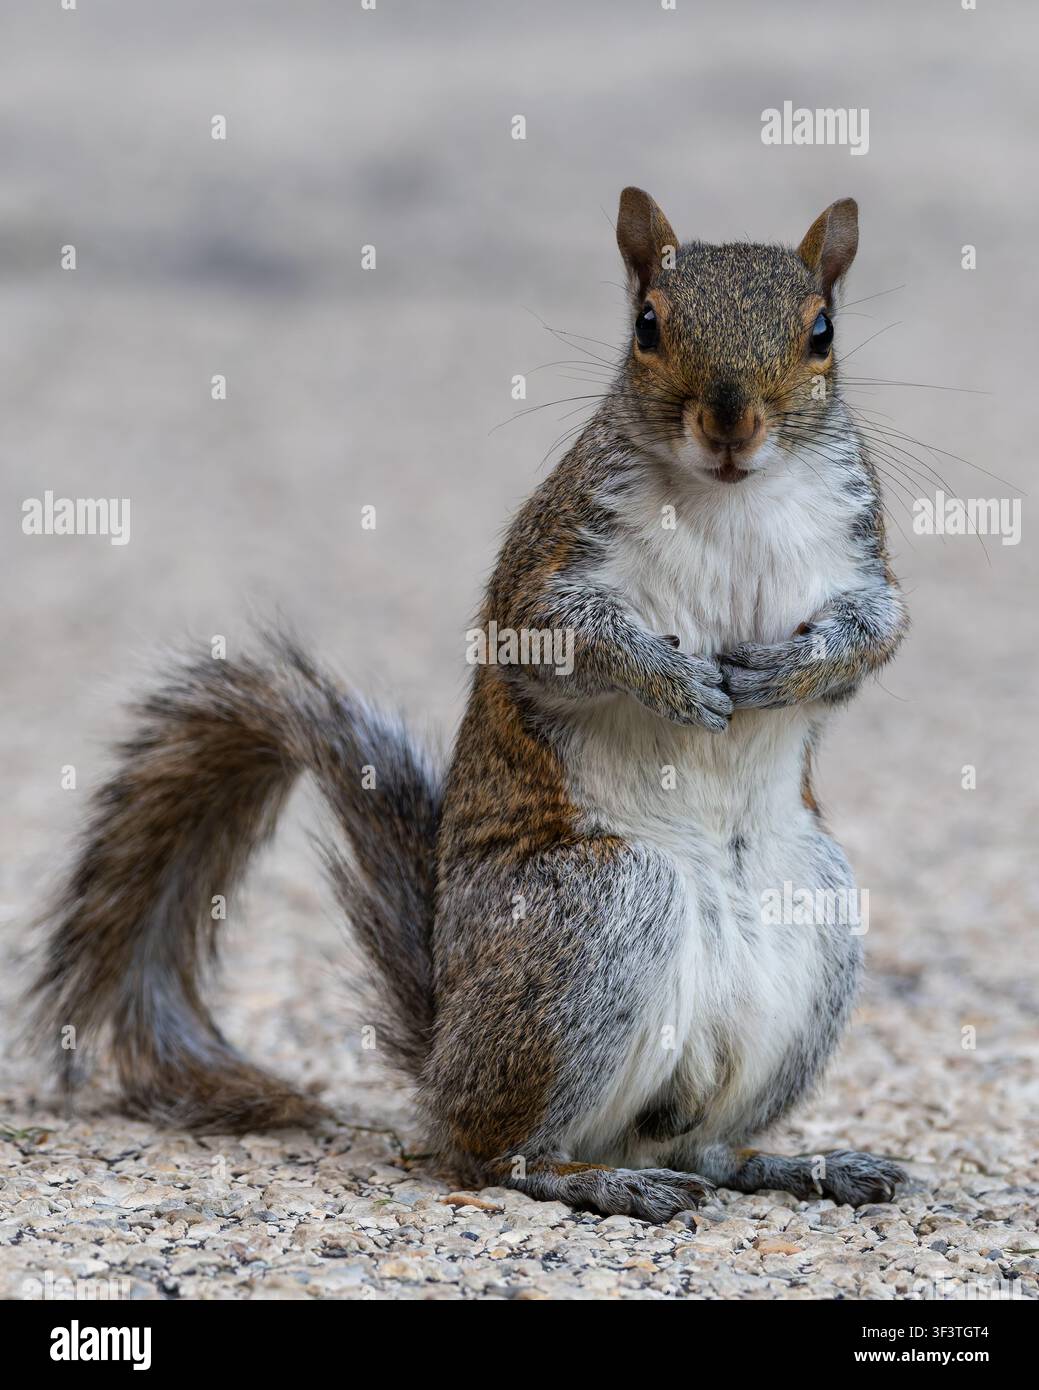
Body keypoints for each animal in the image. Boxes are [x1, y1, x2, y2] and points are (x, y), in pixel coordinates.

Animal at [33, 188, 909, 1222]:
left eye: (821, 333)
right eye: (646, 326)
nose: (731, 425)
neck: (726, 500)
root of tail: (446, 1046)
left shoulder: (857, 556)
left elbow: (870, 637)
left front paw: (784, 672)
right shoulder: (546, 565)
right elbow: (564, 642)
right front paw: (672, 680)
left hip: (814, 913)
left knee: (704, 1148)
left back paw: (799, 1165)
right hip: (593, 913)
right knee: (492, 1154)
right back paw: (592, 1177)